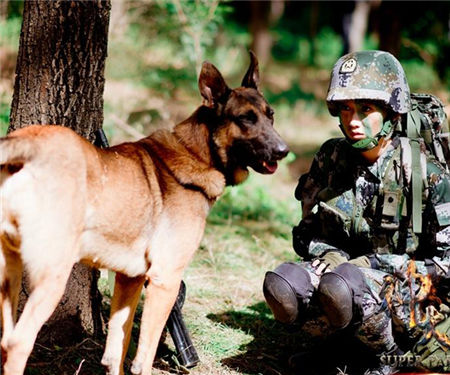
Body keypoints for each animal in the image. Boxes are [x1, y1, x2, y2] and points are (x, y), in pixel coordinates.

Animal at [0, 53, 288, 375]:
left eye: (271, 115)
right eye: (245, 119)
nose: (283, 150)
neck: (196, 153)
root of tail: (28, 143)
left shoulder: (130, 279)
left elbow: (117, 349)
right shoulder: (165, 280)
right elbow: (144, 356)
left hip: (9, 274)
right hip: (52, 278)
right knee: (18, 343)